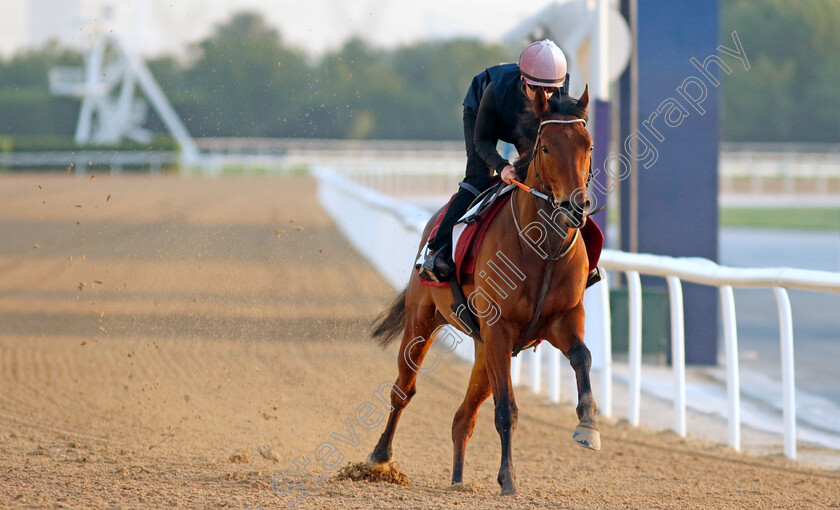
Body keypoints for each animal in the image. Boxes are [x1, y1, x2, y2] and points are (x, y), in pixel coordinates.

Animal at [368, 86, 596, 494]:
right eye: (546, 147)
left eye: (587, 144)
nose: (576, 206)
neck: (544, 249)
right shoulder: (500, 329)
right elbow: (506, 410)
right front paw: (508, 479)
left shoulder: (561, 320)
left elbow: (583, 357)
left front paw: (588, 427)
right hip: (423, 322)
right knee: (403, 390)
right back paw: (379, 457)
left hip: (483, 347)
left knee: (463, 417)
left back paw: (458, 480)